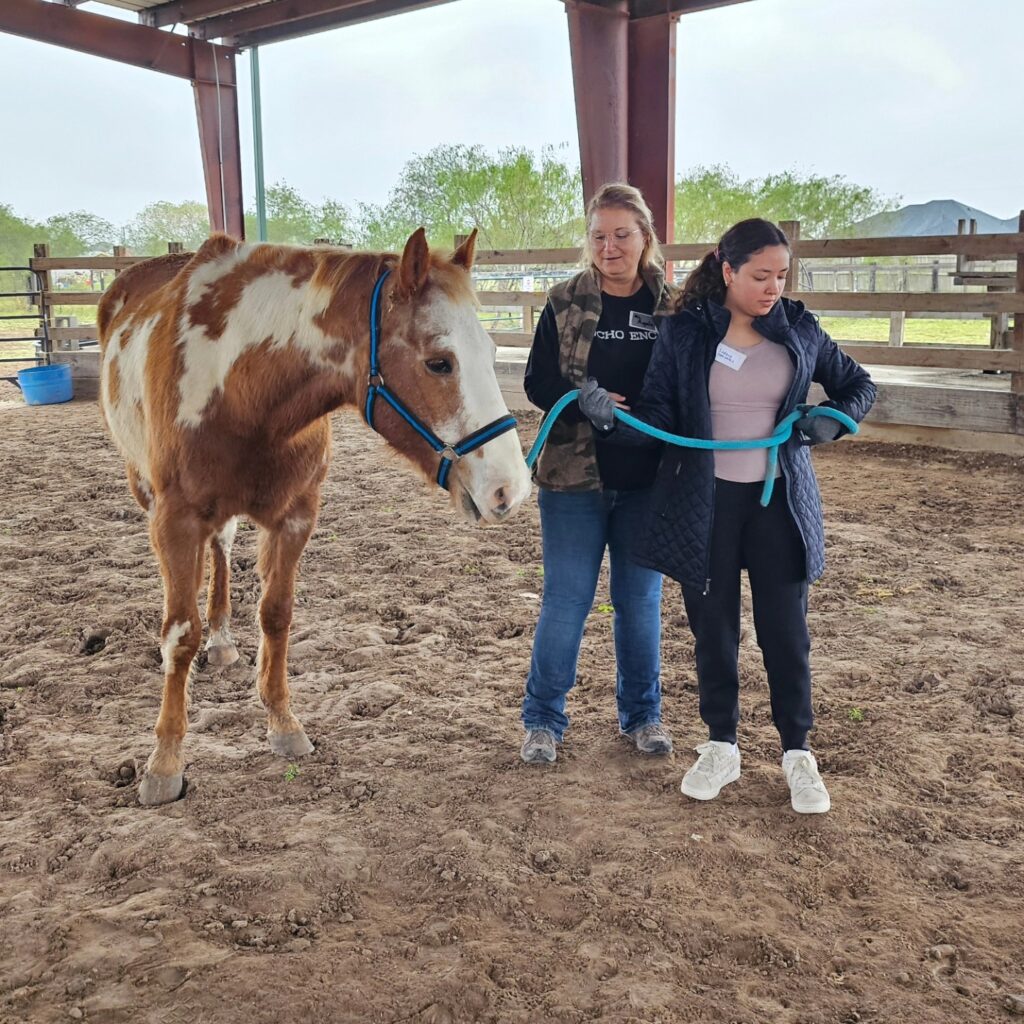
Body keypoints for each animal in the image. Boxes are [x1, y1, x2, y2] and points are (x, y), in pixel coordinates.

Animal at [96, 228, 532, 802]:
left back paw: (223, 641)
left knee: (222, 548)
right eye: (440, 362)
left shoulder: (296, 517)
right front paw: (164, 762)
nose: (510, 488)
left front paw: (283, 724)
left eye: (490, 350)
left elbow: (276, 616)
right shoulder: (175, 521)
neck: (242, 389)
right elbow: (179, 634)